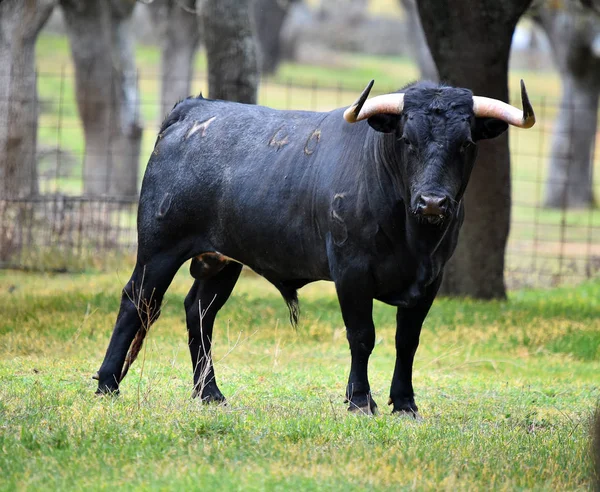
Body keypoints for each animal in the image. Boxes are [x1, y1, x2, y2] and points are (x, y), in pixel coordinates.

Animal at [96, 80, 536, 416]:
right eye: (407, 140)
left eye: (465, 143)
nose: (432, 203)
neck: (414, 237)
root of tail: (194, 108)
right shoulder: (351, 271)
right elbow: (362, 335)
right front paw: (360, 401)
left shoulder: (430, 279)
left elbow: (406, 341)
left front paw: (404, 403)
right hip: (159, 248)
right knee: (137, 300)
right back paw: (107, 385)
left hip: (223, 259)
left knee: (199, 312)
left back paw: (210, 394)